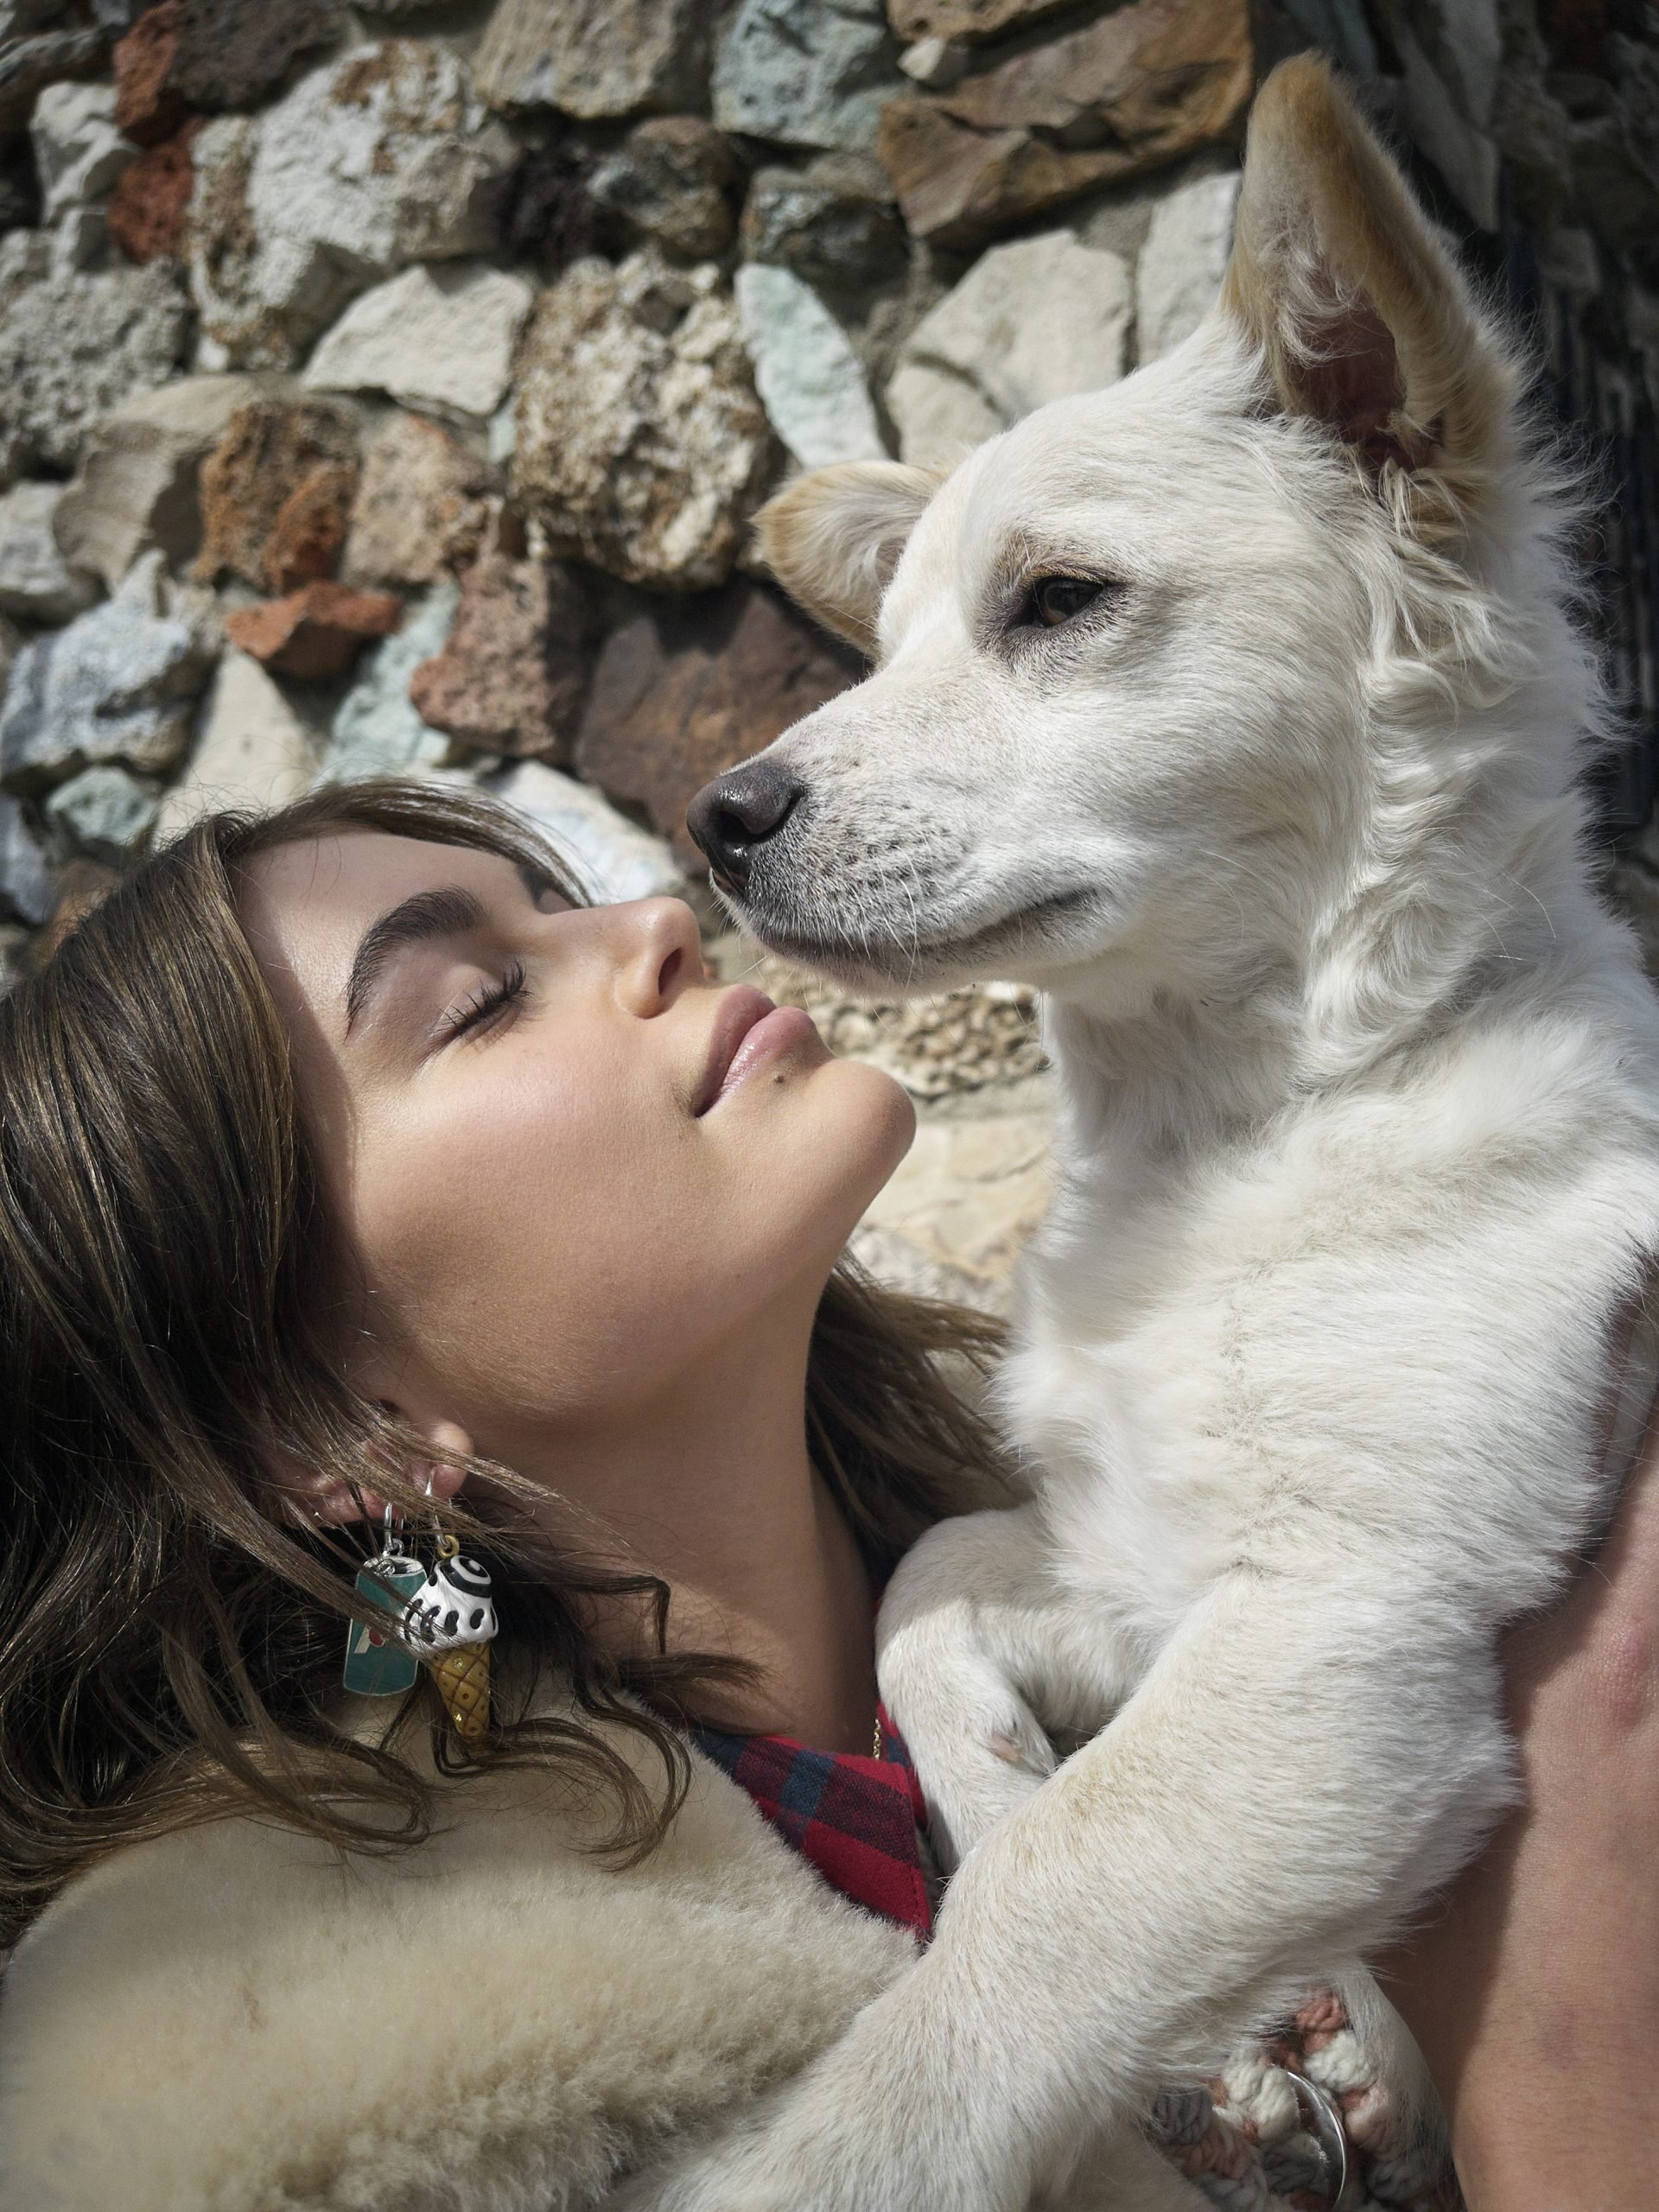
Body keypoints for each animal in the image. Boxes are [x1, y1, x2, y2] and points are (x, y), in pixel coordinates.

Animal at [637, 55, 1659, 2212]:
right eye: (885, 646)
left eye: (1060, 602)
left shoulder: (1344, 1630)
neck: (1233, 1134)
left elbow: (1042, 1923)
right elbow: (932, 1591)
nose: (717, 819)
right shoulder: (1141, 1567)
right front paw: (1254, 2027)